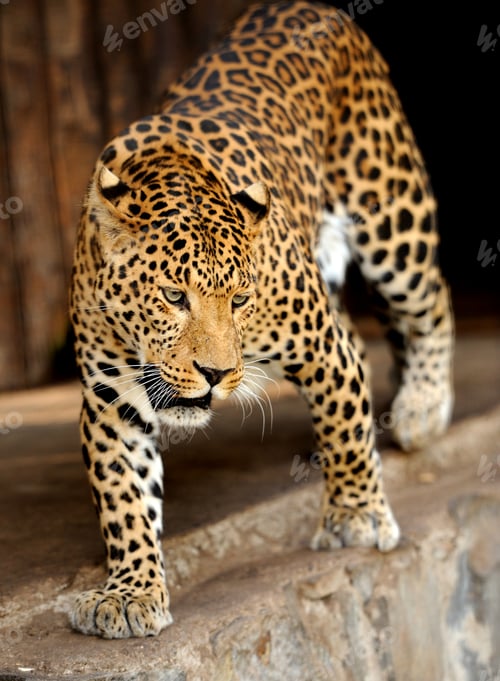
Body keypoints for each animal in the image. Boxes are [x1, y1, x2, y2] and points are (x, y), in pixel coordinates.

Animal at [69, 0, 454, 639]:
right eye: (173, 296)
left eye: (240, 299)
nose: (215, 375)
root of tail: (309, 7)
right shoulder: (110, 399)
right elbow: (123, 500)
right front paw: (131, 592)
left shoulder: (322, 349)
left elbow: (345, 425)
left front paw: (355, 518)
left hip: (394, 220)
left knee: (431, 303)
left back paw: (423, 406)